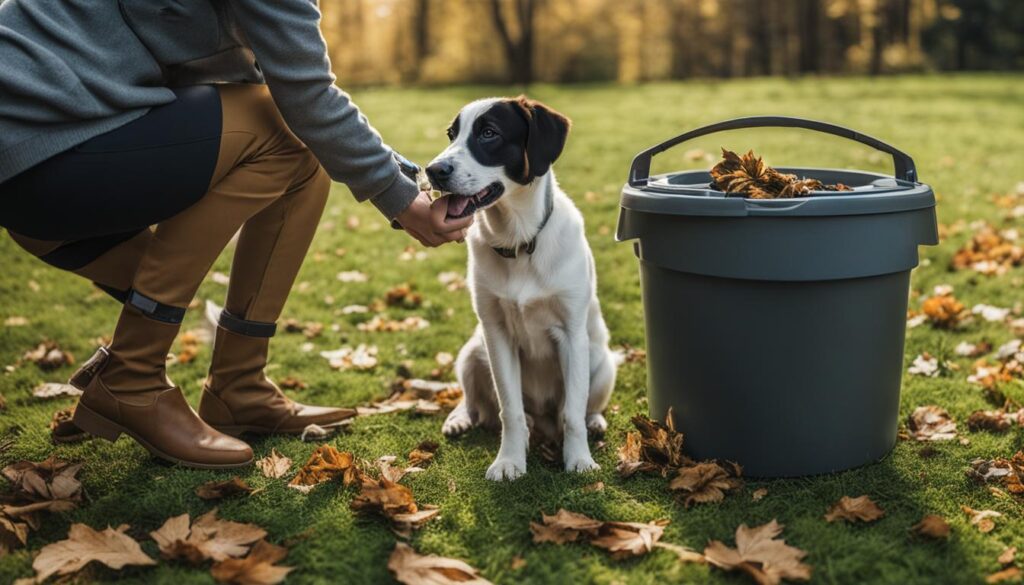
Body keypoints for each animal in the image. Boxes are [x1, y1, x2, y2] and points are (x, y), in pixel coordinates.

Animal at [425, 96, 614, 481]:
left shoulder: (572, 334)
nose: (433, 170)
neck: (520, 241)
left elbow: (572, 412)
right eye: (452, 134)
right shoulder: (495, 333)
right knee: (478, 402)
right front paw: (509, 461)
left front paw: (579, 459)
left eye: (489, 133)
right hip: (473, 353)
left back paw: (594, 422)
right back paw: (460, 419)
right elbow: (508, 410)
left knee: (582, 408)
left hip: (603, 364)